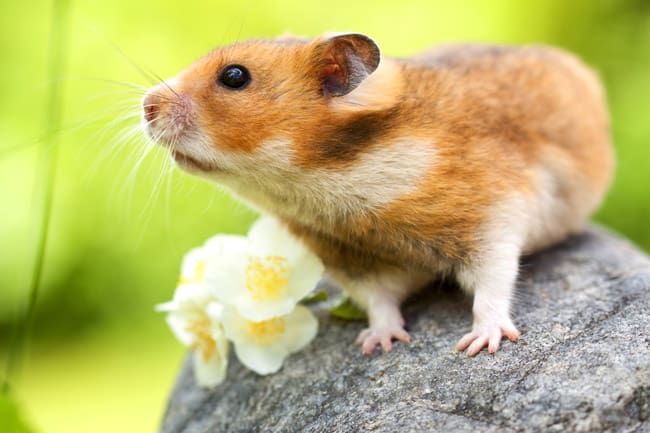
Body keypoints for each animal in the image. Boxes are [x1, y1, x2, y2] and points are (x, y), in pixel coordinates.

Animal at [141, 33, 613, 356]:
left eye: (234, 76)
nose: (146, 106)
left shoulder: (493, 218)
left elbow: (493, 283)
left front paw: (481, 344)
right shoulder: (354, 260)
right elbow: (379, 301)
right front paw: (378, 344)